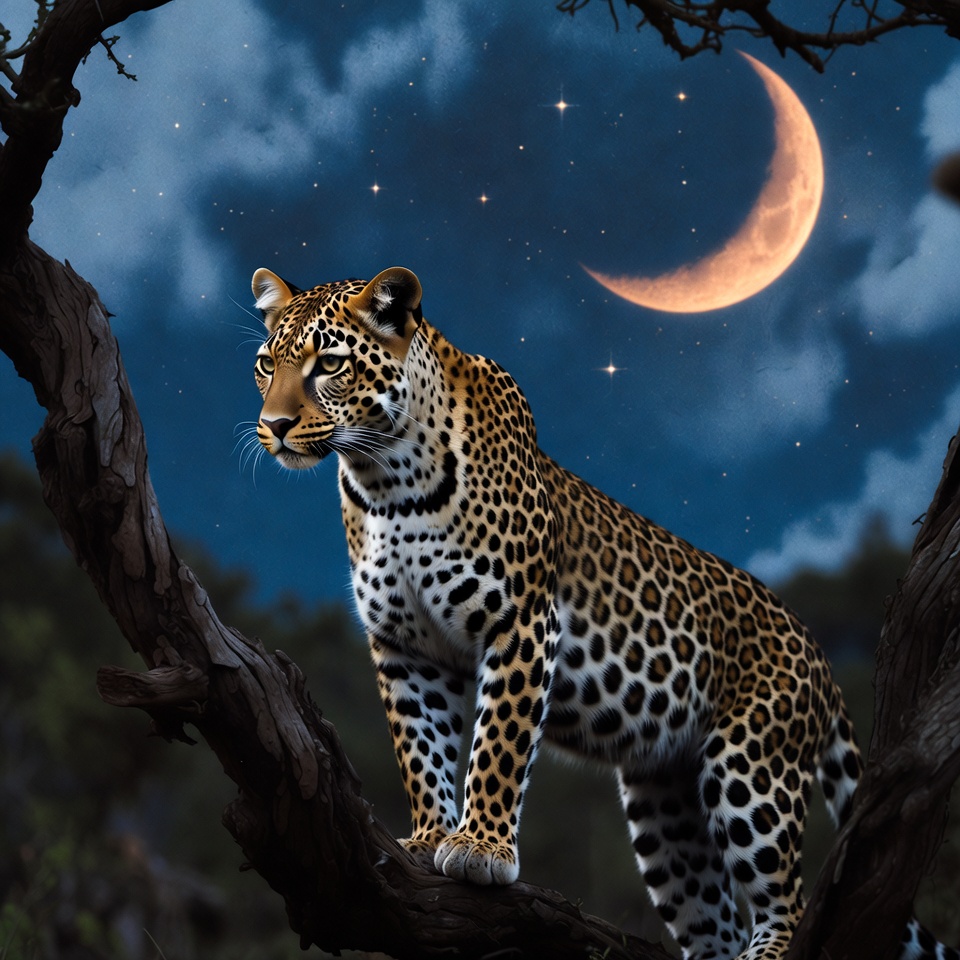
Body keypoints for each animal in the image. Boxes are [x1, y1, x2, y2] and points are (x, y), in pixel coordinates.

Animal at [249, 264, 956, 960]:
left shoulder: (522, 621)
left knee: (788, 901)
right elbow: (419, 749)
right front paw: (427, 837)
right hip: (665, 808)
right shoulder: (404, 646)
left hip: (751, 766)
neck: (384, 481)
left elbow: (498, 743)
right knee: (716, 919)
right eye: (265, 364)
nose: (274, 425)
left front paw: (480, 848)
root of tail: (816, 653)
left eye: (330, 364)